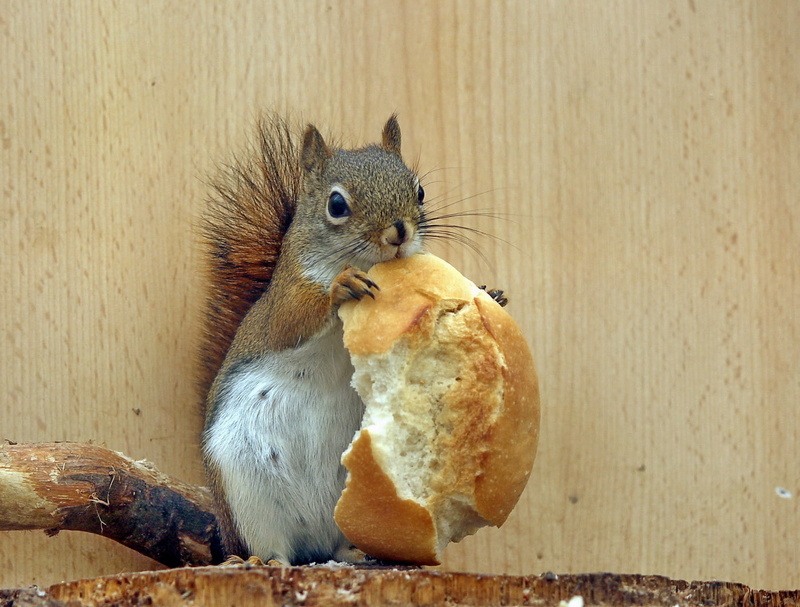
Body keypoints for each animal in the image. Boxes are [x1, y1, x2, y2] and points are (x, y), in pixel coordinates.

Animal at [200, 115, 506, 565]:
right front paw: (340, 287)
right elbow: (292, 321)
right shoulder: (285, 299)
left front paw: (491, 295)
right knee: (270, 542)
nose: (398, 232)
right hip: (245, 488)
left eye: (419, 191)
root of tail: (312, 542)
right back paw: (263, 560)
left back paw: (355, 552)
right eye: (337, 205)